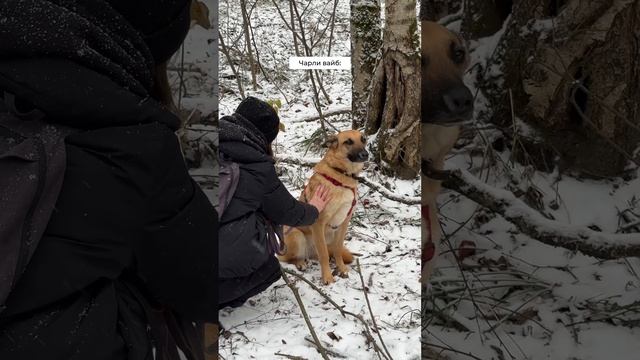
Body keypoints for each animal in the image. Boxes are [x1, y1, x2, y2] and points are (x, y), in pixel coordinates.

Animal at [278, 129, 368, 284]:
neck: (341, 175)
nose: (365, 154)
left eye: (363, 140)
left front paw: (341, 268)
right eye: (348, 142)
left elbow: (337, 249)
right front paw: (327, 277)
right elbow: (324, 254)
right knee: (290, 258)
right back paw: (300, 263)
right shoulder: (318, 223)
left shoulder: (344, 222)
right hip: (297, 236)